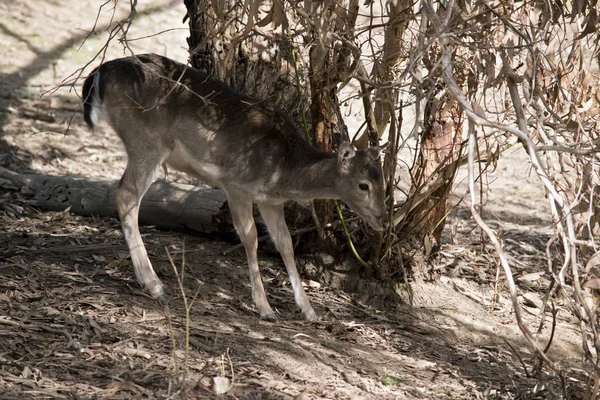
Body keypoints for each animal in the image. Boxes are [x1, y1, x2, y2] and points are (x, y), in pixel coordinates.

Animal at [81, 54, 390, 322]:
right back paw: (154, 285)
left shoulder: (271, 201)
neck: (281, 171)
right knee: (126, 195)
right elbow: (251, 238)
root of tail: (101, 73)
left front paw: (310, 311)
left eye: (383, 182)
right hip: (146, 140)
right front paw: (264, 308)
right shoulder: (237, 185)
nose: (383, 220)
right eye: (363, 185)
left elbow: (286, 244)